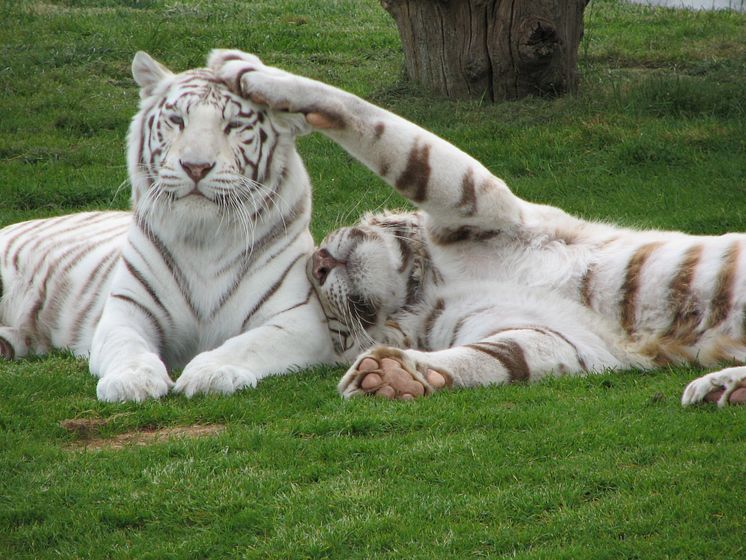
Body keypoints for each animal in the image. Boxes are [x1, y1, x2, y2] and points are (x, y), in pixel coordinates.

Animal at [0, 51, 332, 402]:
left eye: (233, 126)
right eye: (177, 120)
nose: (196, 166)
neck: (205, 238)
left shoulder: (300, 320)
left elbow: (246, 345)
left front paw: (211, 374)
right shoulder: (126, 313)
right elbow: (127, 347)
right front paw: (131, 382)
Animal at [211, 49, 746, 406]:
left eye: (318, 261)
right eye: (336, 324)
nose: (320, 264)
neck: (424, 286)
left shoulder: (479, 205)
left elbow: (379, 127)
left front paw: (247, 72)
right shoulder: (564, 339)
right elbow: (496, 357)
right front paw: (392, 377)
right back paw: (720, 387)